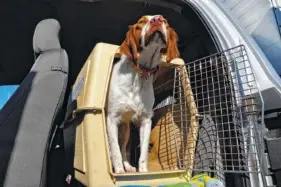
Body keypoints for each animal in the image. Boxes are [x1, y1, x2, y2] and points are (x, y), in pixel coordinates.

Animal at [105, 15, 179, 174]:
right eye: (141, 22)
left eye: (165, 21)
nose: (157, 19)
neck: (140, 74)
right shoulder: (112, 118)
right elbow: (114, 149)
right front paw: (118, 171)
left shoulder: (146, 120)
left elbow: (143, 151)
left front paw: (143, 171)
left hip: (126, 129)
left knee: (123, 148)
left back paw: (128, 167)